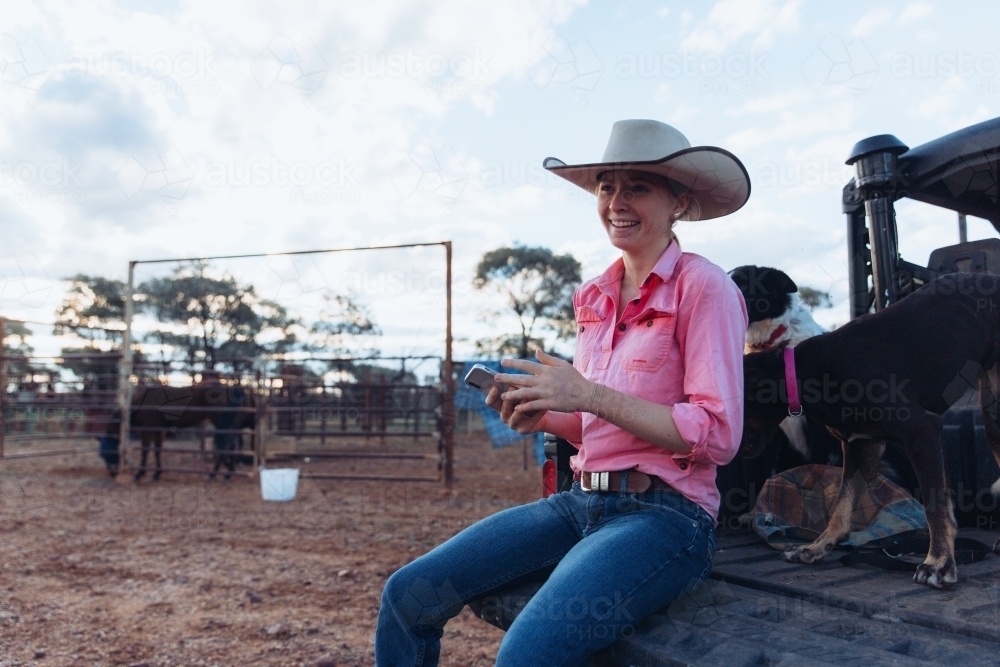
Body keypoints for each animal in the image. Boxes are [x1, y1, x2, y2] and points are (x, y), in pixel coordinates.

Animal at [740, 272, 1000, 588]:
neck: (801, 374)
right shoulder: (860, 445)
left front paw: (939, 563)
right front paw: (815, 548)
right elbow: (841, 507)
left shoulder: (922, 430)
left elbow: (935, 506)